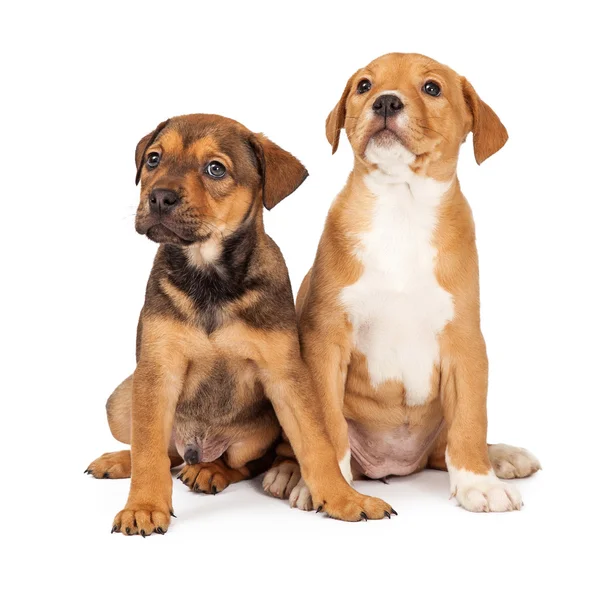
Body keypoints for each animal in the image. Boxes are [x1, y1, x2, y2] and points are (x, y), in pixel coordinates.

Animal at [264, 55, 540, 510]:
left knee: (448, 444)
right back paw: (289, 473)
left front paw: (478, 484)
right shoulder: (325, 341)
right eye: (364, 85)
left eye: (432, 88)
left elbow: (471, 420)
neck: (401, 206)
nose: (386, 102)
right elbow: (327, 427)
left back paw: (501, 456)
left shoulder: (465, 340)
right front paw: (324, 486)